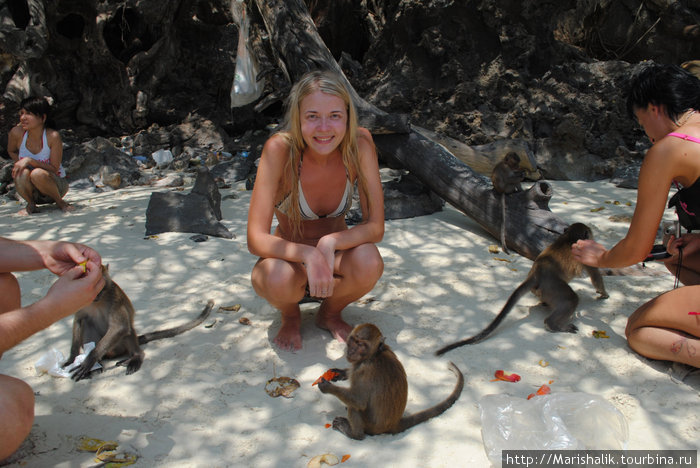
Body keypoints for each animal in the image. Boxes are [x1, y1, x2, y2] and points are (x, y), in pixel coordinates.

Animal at [65, 264, 213, 380]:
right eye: (92, 286)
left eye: (100, 285)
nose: (95, 295)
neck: (97, 301)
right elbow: (78, 320)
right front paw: (72, 359)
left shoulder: (114, 298)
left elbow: (121, 327)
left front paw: (90, 359)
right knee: (87, 322)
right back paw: (97, 365)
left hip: (119, 346)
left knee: (128, 329)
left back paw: (135, 356)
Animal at [318, 322, 464, 438]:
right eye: (353, 340)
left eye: (361, 345)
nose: (351, 351)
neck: (374, 354)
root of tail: (394, 423)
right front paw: (340, 373)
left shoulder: (364, 370)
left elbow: (359, 401)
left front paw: (327, 387)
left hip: (371, 426)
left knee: (355, 407)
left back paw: (354, 434)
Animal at [438, 223, 608, 354]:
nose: (592, 236)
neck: (569, 237)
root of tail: (536, 273)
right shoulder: (586, 254)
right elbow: (595, 276)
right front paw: (603, 294)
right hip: (552, 285)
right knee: (571, 299)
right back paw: (552, 324)